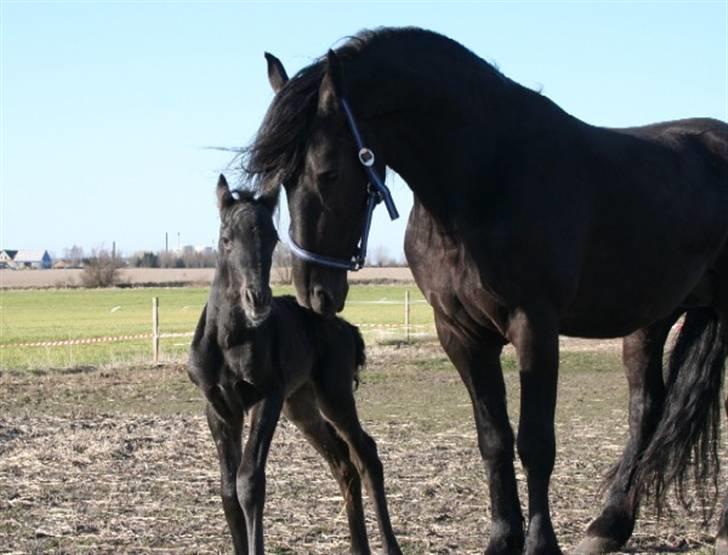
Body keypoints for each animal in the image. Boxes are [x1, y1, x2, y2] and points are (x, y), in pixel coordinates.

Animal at [188, 176, 400, 555]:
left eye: (273, 238)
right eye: (225, 239)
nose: (258, 300)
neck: (229, 341)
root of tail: (344, 326)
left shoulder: (267, 396)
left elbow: (249, 481)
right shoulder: (218, 407)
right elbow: (227, 490)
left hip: (333, 396)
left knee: (366, 455)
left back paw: (390, 546)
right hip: (301, 405)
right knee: (343, 464)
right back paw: (358, 547)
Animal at [242, 28, 728, 552]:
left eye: (328, 171)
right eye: (282, 179)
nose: (314, 291)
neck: (487, 178)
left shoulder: (534, 325)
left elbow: (535, 442)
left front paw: (539, 542)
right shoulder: (460, 333)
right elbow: (493, 439)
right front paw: (502, 538)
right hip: (651, 319)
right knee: (646, 408)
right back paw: (607, 526)